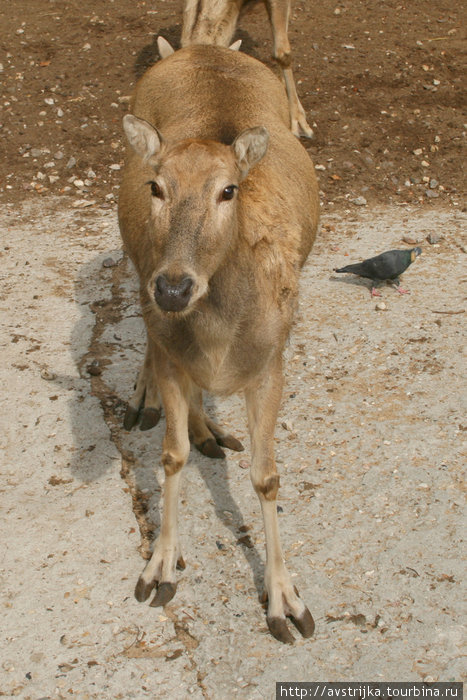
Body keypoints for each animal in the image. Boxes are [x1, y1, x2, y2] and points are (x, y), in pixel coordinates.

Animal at [119, 43, 320, 644]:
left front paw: (286, 603)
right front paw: (159, 568)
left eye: (228, 189)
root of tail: (205, 46)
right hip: (135, 266)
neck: (218, 343)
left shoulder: (272, 363)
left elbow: (267, 477)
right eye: (156, 186)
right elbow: (170, 455)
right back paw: (155, 405)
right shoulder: (171, 347)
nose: (174, 286)